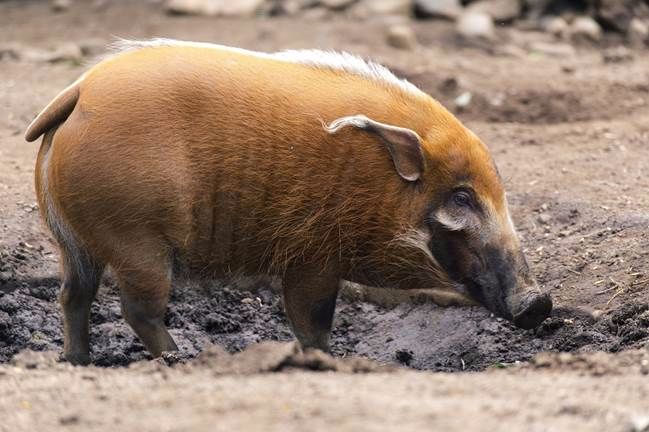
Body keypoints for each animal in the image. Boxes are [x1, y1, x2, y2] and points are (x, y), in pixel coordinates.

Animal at [26, 39, 552, 364]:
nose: (540, 302)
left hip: (75, 242)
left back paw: (78, 361)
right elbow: (311, 324)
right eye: (462, 197)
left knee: (73, 295)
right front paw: (327, 363)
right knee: (137, 310)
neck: (378, 183)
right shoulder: (313, 259)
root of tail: (79, 91)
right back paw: (181, 359)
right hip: (138, 241)